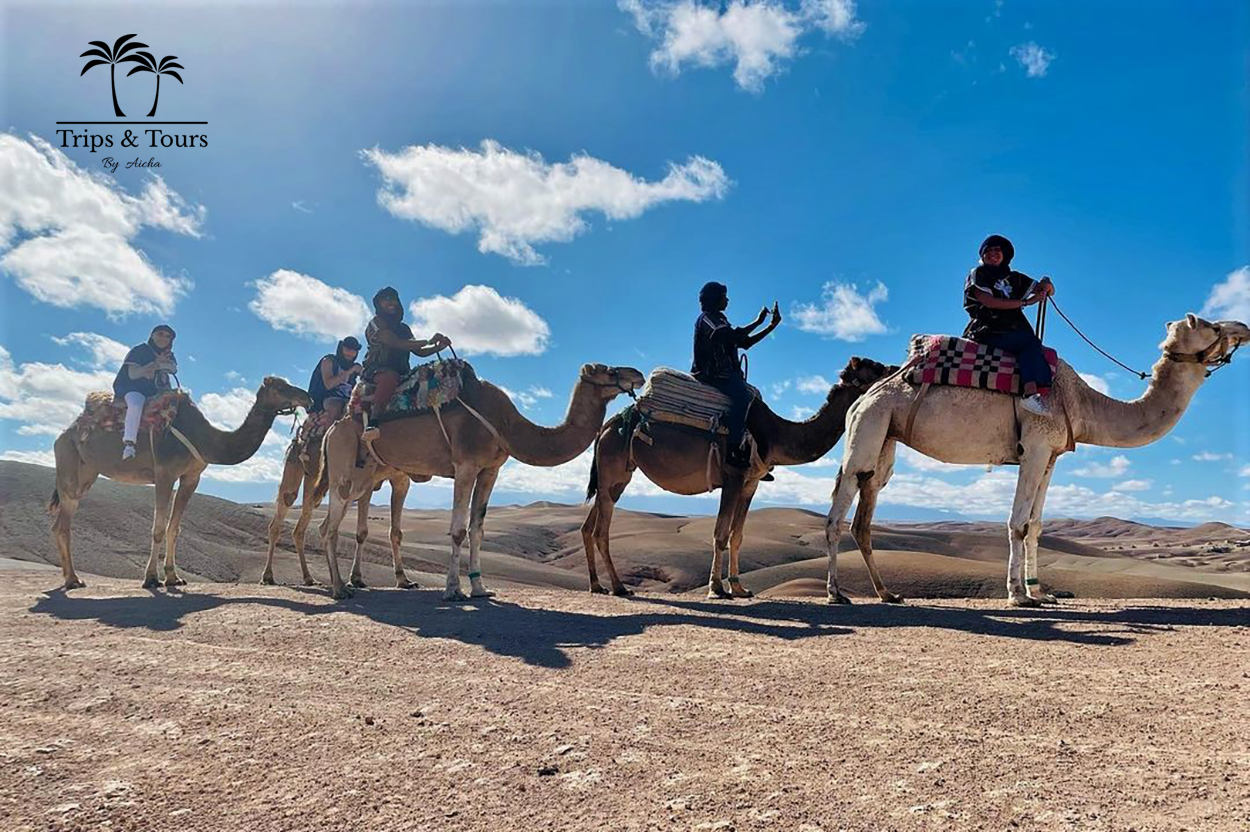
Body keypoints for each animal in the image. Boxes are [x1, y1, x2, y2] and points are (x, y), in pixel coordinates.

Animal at [49, 377, 312, 590]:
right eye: (281, 387)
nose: (307, 397)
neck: (204, 438)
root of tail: (66, 431)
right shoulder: (164, 473)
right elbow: (158, 528)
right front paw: (151, 578)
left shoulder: (191, 478)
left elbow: (174, 528)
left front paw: (173, 577)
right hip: (67, 462)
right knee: (63, 523)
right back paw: (72, 579)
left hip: (87, 472)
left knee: (60, 521)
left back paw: (70, 578)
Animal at [315, 362, 646, 600]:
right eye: (611, 371)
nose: (638, 375)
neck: (506, 424)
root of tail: (333, 428)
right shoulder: (465, 466)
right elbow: (458, 530)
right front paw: (453, 590)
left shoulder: (490, 470)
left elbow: (478, 529)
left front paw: (480, 588)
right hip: (344, 463)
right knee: (329, 524)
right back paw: (339, 589)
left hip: (368, 473)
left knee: (335, 521)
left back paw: (355, 582)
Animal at [581, 357, 894, 599]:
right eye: (873, 367)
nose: (894, 368)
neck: (774, 434)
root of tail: (607, 426)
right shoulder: (732, 476)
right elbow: (720, 533)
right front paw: (716, 588)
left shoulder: (750, 483)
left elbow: (737, 535)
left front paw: (739, 588)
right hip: (612, 468)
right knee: (600, 530)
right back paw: (619, 587)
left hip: (617, 477)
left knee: (589, 525)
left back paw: (597, 585)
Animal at [824, 313, 1249, 607]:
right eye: (1211, 326)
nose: (1243, 326)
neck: (1081, 402)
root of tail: (865, 396)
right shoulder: (1035, 446)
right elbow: (1018, 523)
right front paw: (1017, 595)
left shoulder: (1051, 456)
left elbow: (1037, 524)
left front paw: (1041, 592)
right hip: (869, 428)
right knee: (838, 511)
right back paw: (837, 593)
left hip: (885, 442)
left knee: (864, 514)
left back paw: (887, 594)